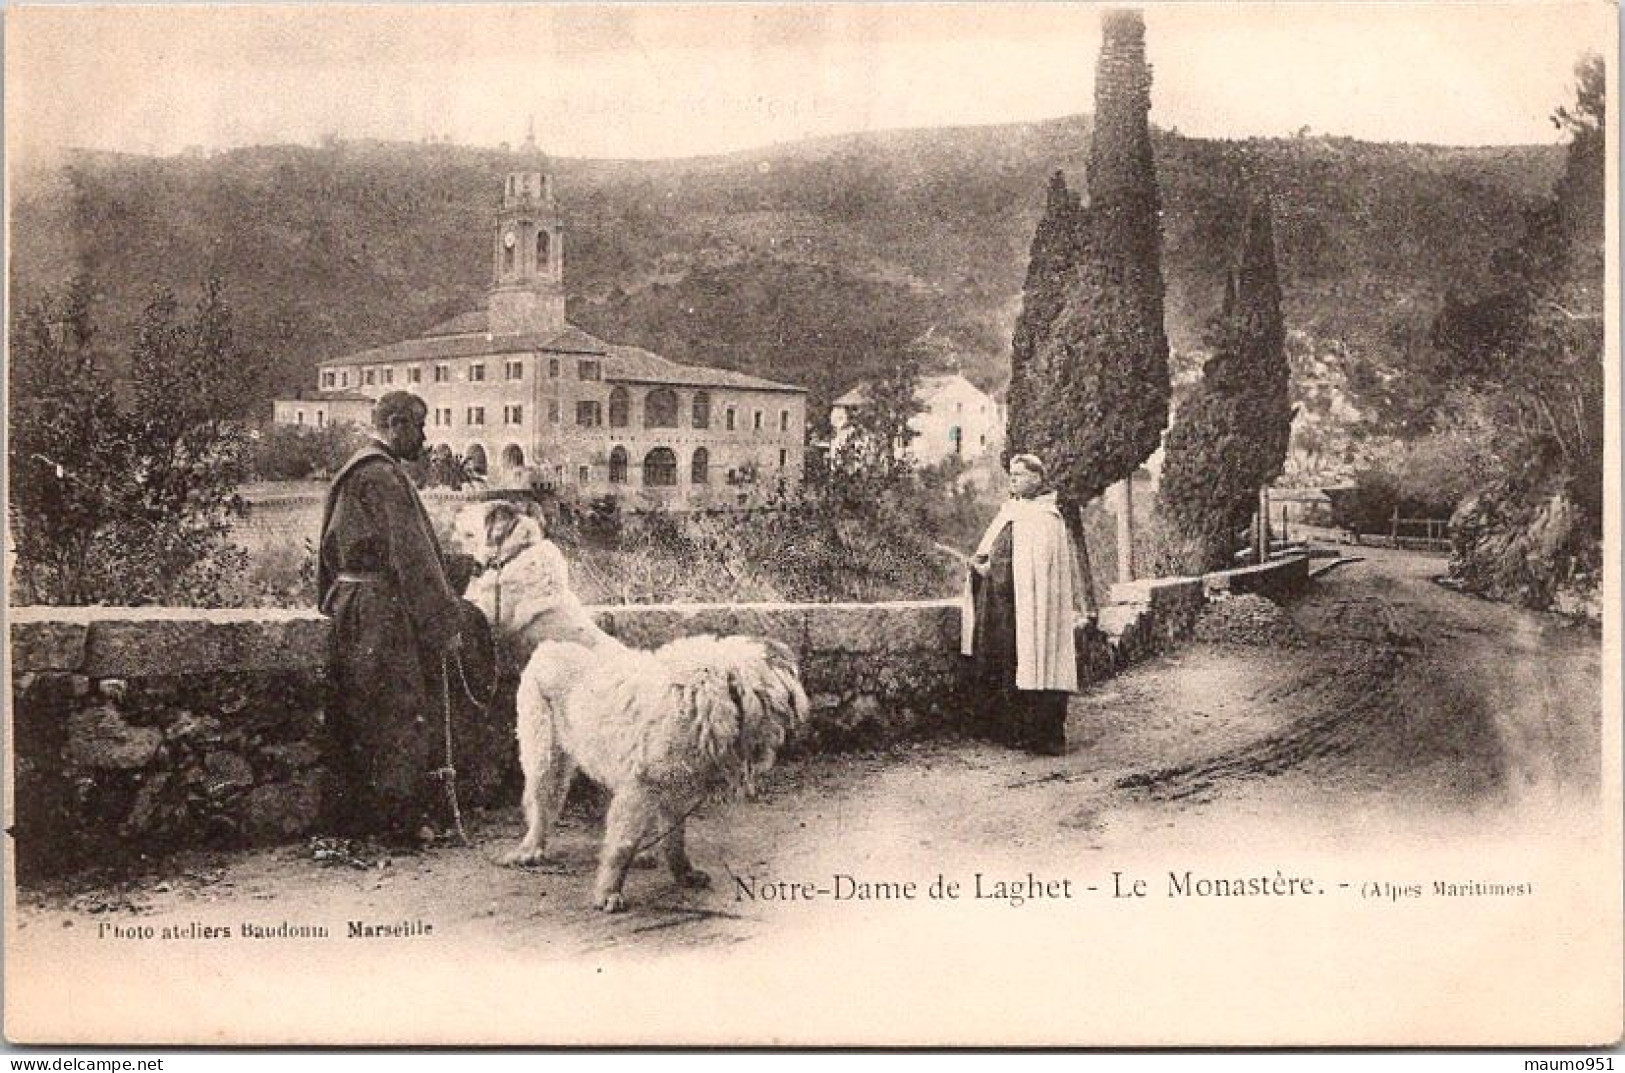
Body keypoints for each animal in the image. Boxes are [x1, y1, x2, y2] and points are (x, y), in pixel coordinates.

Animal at [455, 497, 809, 910]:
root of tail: (547, 653)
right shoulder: (646, 786)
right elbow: (627, 842)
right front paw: (610, 890)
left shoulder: (671, 789)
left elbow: (671, 839)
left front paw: (679, 872)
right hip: (546, 755)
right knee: (543, 807)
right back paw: (532, 849)